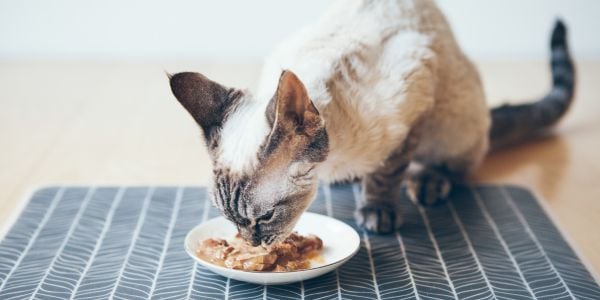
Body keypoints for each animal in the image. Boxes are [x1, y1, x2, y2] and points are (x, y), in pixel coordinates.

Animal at [168, 0, 572, 246]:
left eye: (265, 217)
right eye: (229, 219)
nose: (252, 244)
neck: (331, 163)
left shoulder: (413, 109)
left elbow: (386, 173)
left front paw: (377, 209)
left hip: (453, 125)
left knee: (456, 166)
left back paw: (428, 181)